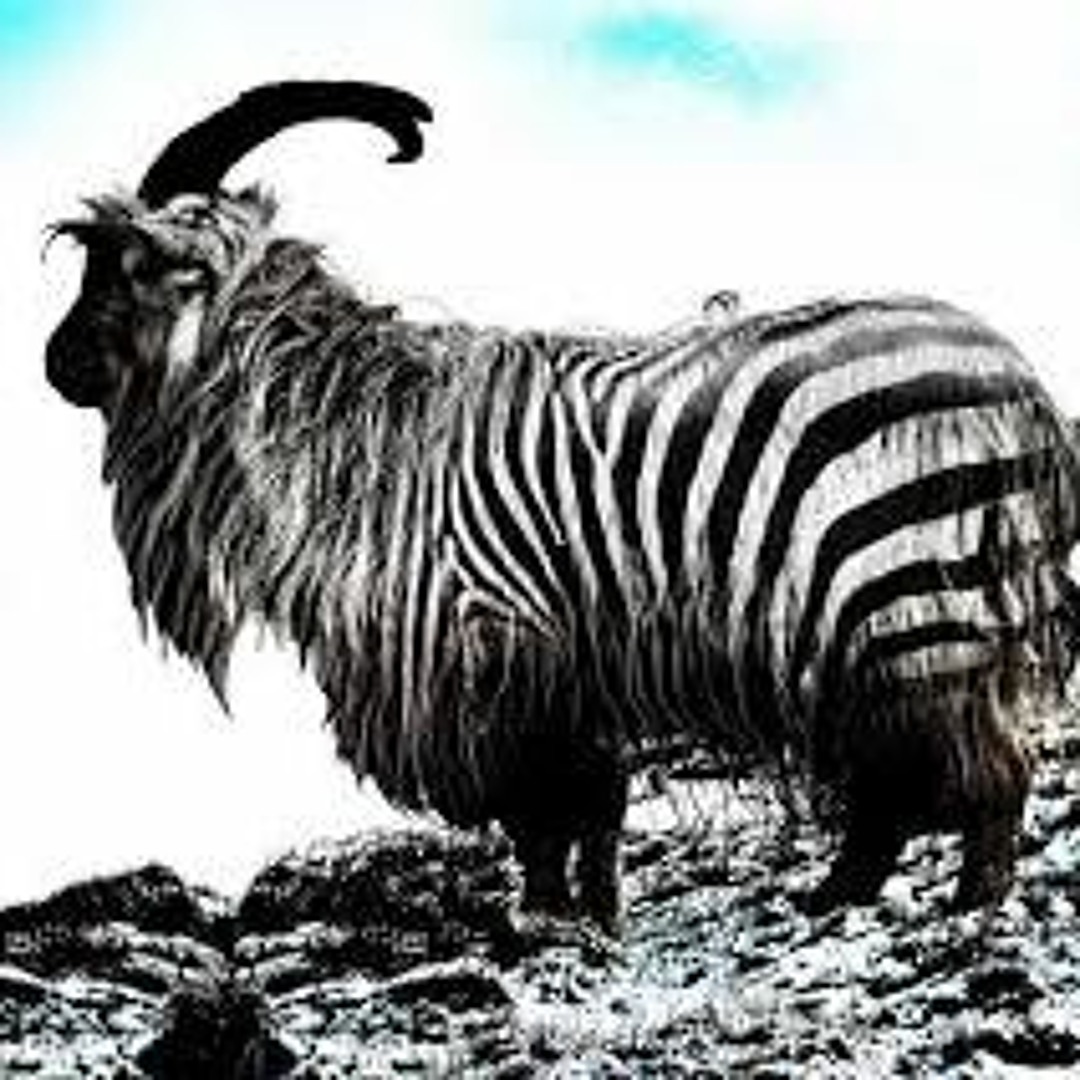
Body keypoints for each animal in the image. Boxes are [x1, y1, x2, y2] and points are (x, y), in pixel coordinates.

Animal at [45, 80, 1080, 933]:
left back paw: (965, 908)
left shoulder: (493, 656)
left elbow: (544, 815)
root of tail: (1018, 381)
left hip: (911, 603)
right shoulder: (571, 681)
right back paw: (842, 896)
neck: (362, 433)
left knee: (977, 771)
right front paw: (597, 920)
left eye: (132, 261)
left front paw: (548, 919)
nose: (57, 365)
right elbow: (593, 814)